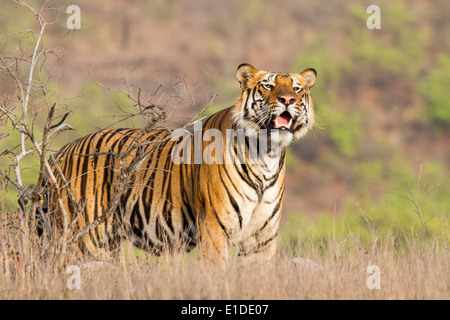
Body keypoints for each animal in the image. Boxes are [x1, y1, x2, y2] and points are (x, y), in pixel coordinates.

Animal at [42, 63, 316, 264]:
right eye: (268, 85)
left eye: (297, 88)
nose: (287, 100)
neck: (266, 154)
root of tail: (60, 153)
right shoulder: (215, 228)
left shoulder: (262, 238)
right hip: (85, 240)